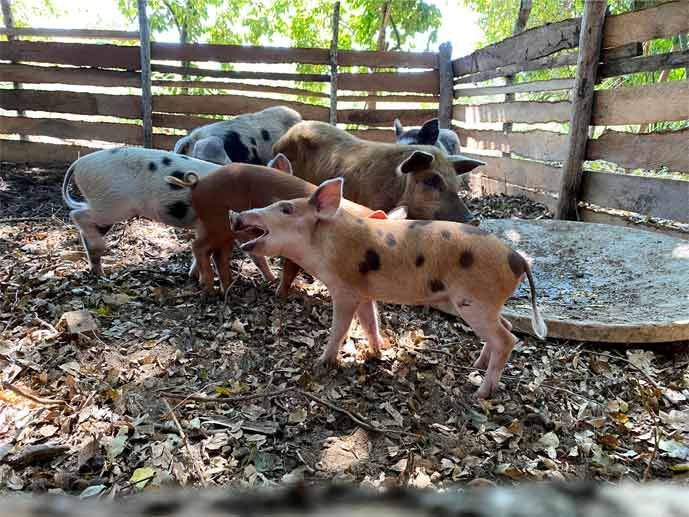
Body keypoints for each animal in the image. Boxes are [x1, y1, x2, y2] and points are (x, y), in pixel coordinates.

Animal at [61, 147, 273, 280]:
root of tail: (79, 163)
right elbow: (256, 255)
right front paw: (271, 279)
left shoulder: (204, 226)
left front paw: (192, 275)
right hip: (111, 205)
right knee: (78, 215)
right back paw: (99, 252)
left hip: (104, 206)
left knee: (83, 219)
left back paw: (98, 270)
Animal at [165, 154, 406, 295]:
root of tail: (197, 184)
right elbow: (290, 270)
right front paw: (281, 294)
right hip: (217, 223)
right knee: (199, 247)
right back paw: (209, 288)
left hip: (220, 228)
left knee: (218, 254)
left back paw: (228, 287)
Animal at [232, 178, 547, 398]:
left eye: (286, 209)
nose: (237, 215)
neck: (325, 247)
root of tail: (517, 258)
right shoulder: (363, 293)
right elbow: (369, 321)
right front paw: (376, 352)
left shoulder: (345, 290)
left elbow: (339, 328)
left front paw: (322, 363)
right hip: (486, 303)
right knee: (505, 327)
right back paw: (476, 366)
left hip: (475, 302)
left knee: (507, 339)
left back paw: (480, 392)